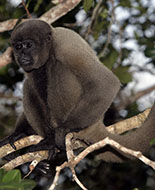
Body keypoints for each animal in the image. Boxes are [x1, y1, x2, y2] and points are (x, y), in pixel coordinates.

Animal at [0, 19, 154, 163]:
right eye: (18, 47)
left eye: (29, 45)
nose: (21, 55)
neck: (50, 46)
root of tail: (98, 124)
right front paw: (19, 133)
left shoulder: (66, 46)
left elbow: (107, 82)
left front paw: (65, 129)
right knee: (29, 84)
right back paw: (48, 140)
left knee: (57, 67)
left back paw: (53, 141)